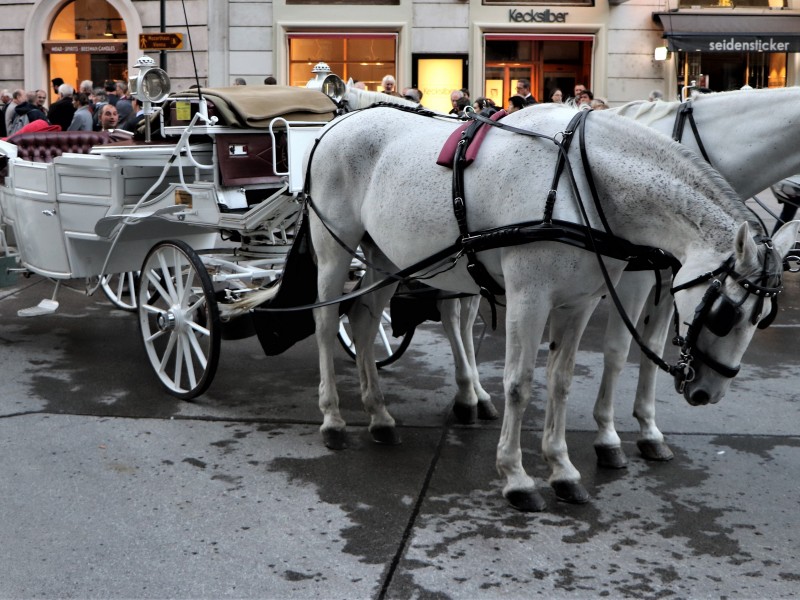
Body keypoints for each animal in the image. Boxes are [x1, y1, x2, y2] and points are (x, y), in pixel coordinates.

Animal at [304, 103, 796, 510]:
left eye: (761, 319)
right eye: (726, 315)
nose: (708, 393)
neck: (581, 183)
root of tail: (340, 121)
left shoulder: (578, 303)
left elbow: (560, 381)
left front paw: (561, 469)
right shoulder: (530, 298)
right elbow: (519, 384)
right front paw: (516, 476)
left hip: (386, 257)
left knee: (363, 321)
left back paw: (379, 415)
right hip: (334, 247)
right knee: (327, 322)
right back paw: (332, 418)